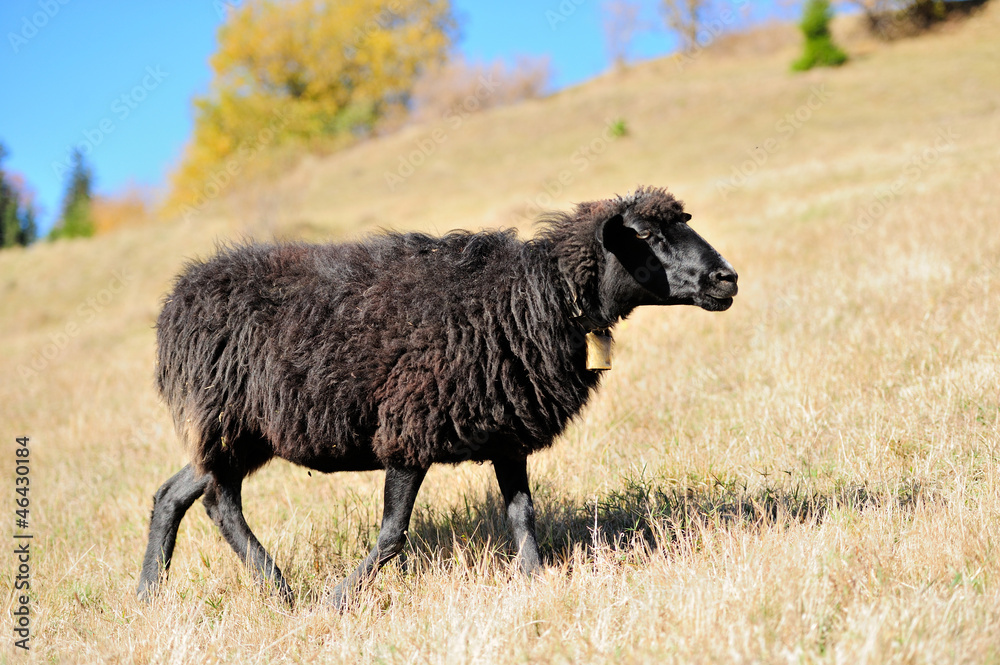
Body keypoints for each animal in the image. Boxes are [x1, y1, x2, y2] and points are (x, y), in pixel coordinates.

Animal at [137, 186, 738, 607]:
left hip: (235, 431)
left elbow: (523, 517)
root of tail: (177, 300)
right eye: (647, 237)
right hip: (233, 421)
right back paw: (281, 591)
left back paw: (149, 597)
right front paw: (335, 601)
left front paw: (536, 582)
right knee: (220, 502)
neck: (535, 298)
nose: (726, 279)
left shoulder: (506, 435)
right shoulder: (409, 430)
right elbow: (391, 535)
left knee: (174, 493)